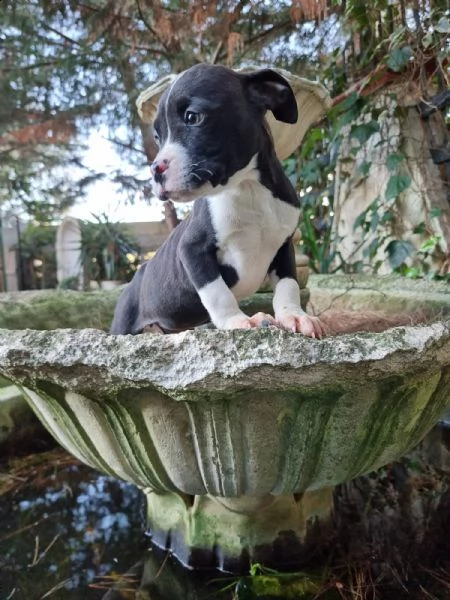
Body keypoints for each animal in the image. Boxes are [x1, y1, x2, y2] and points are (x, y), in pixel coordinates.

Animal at [109, 66, 324, 340]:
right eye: (157, 137)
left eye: (192, 117)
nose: (155, 169)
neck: (248, 188)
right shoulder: (192, 250)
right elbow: (218, 293)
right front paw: (237, 321)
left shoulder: (284, 244)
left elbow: (289, 286)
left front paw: (294, 315)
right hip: (123, 324)